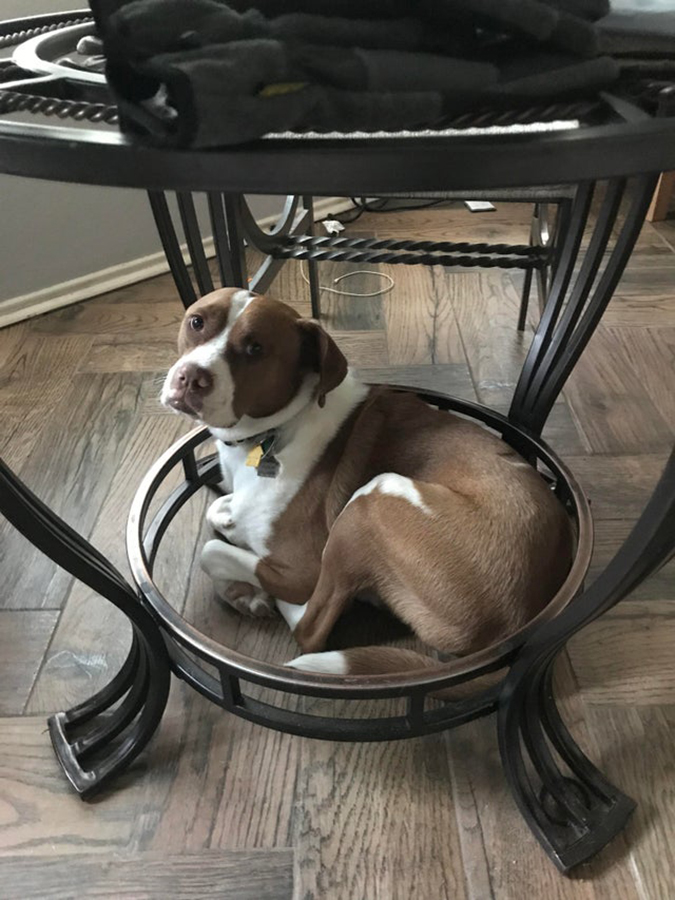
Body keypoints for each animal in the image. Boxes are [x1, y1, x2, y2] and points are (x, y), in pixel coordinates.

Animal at [161, 288, 572, 676]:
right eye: (197, 322)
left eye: (255, 348)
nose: (190, 378)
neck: (275, 432)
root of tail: (517, 622)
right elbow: (219, 511)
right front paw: (239, 575)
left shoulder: (303, 568)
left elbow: (212, 552)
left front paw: (246, 587)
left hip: (372, 499)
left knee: (310, 630)